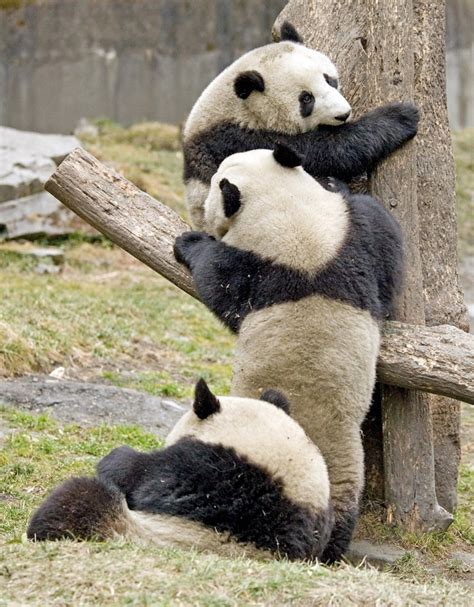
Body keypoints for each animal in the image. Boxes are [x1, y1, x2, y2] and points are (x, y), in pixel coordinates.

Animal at [174, 144, 404, 564]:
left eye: (214, 183)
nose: (203, 211)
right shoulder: (351, 242)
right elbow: (388, 257)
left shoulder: (260, 267)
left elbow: (219, 281)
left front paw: (190, 243)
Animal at [183, 20, 420, 230]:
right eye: (306, 99)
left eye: (329, 79)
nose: (343, 114)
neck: (240, 108)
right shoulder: (238, 139)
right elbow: (326, 151)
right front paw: (400, 117)